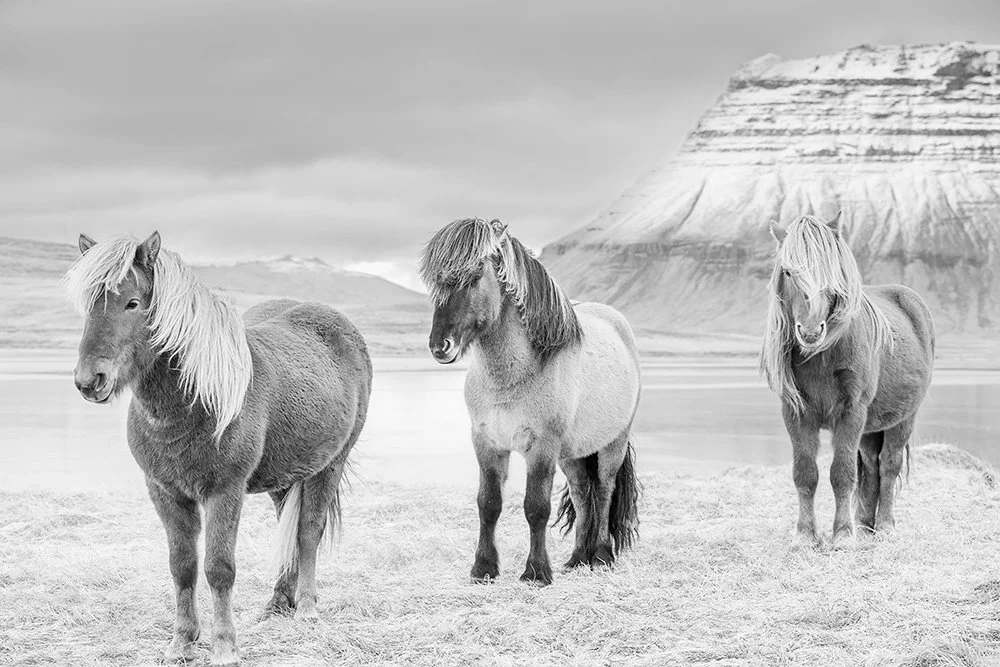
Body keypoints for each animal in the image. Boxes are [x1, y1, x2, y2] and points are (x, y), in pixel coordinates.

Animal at [64, 232, 372, 666]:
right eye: (89, 304)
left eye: (133, 303)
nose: (90, 380)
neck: (195, 400)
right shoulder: (165, 492)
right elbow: (182, 566)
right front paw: (181, 642)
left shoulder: (224, 491)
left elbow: (219, 568)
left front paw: (225, 646)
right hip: (284, 477)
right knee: (288, 532)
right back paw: (278, 604)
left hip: (329, 465)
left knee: (309, 532)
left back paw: (308, 608)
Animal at [419, 218, 642, 586]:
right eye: (435, 280)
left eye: (475, 275)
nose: (441, 346)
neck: (515, 374)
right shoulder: (487, 442)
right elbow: (488, 503)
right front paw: (483, 568)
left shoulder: (541, 447)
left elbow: (536, 507)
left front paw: (536, 572)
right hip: (572, 453)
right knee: (582, 493)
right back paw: (577, 558)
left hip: (612, 442)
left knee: (604, 490)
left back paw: (600, 555)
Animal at [760, 213, 935, 549]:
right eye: (788, 271)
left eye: (833, 269)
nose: (811, 331)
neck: (821, 356)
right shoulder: (796, 413)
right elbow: (805, 473)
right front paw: (805, 535)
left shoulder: (851, 412)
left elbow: (841, 473)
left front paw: (841, 535)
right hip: (871, 426)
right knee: (871, 463)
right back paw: (864, 525)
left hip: (903, 418)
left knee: (888, 463)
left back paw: (885, 526)